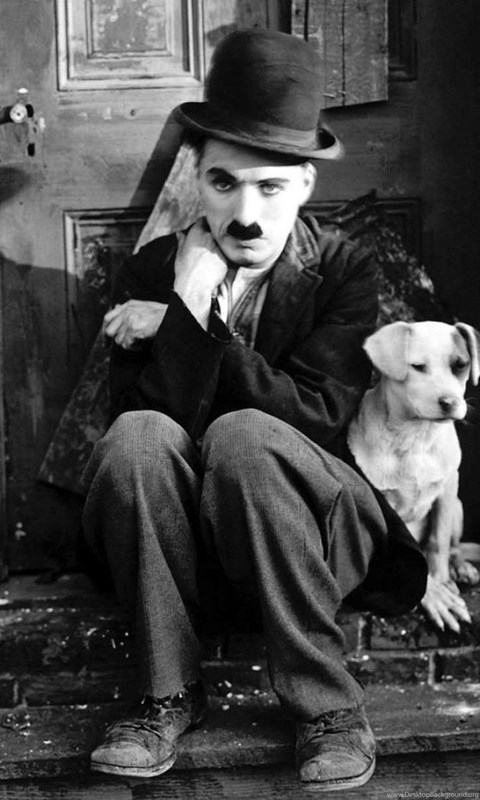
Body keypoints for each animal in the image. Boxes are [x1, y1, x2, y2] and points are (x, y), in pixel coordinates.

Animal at [348, 321, 480, 629]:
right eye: (418, 367)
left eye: (461, 365)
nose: (450, 402)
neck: (417, 435)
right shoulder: (382, 503)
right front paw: (432, 593)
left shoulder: (447, 491)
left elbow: (438, 542)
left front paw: (442, 579)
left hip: (458, 506)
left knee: (455, 546)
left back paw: (461, 569)